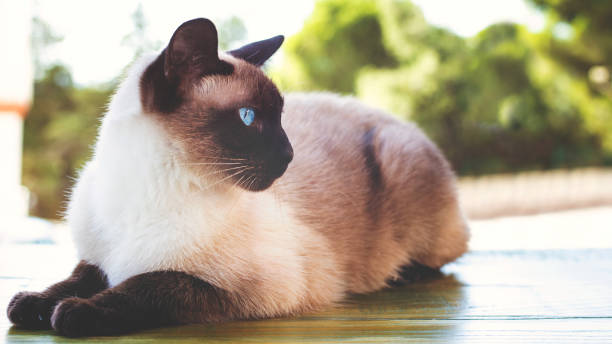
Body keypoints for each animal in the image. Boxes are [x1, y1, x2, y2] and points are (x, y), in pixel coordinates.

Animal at [5, 17, 468, 338]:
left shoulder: (251, 289)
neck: (146, 193)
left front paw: (76, 312)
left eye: (280, 117)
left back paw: (405, 273)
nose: (290, 155)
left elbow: (153, 284)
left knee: (445, 256)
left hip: (402, 166)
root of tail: (399, 122)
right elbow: (75, 278)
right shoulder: (100, 258)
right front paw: (33, 304)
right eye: (248, 118)